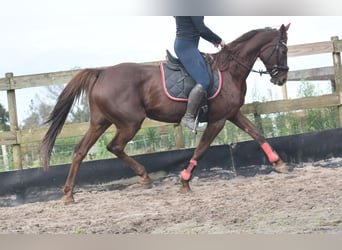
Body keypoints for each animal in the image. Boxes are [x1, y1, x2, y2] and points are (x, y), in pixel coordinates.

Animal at [41, 23, 290, 203]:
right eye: (284, 49)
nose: (281, 78)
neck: (230, 70)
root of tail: (102, 72)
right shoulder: (217, 120)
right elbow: (201, 149)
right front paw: (185, 181)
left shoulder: (232, 114)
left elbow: (257, 133)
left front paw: (279, 163)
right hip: (130, 122)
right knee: (114, 146)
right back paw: (143, 177)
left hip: (100, 122)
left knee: (80, 151)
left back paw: (69, 194)